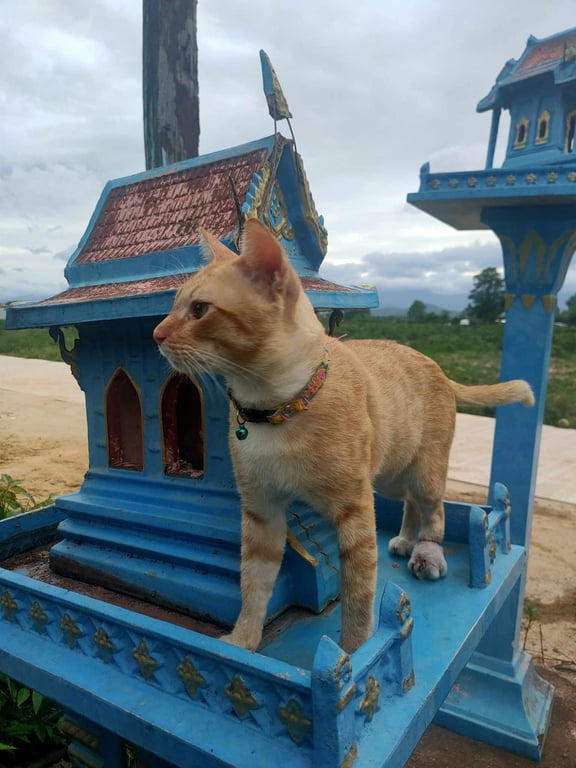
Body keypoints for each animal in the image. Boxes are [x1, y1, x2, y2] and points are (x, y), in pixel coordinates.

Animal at [153, 219, 534, 654]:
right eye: (173, 304)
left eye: (199, 309)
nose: (155, 334)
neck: (276, 410)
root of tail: (436, 364)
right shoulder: (261, 511)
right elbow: (253, 584)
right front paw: (242, 640)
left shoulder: (355, 510)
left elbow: (358, 592)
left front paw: (354, 653)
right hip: (389, 475)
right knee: (410, 503)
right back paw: (406, 538)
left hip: (422, 473)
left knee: (433, 511)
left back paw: (425, 552)